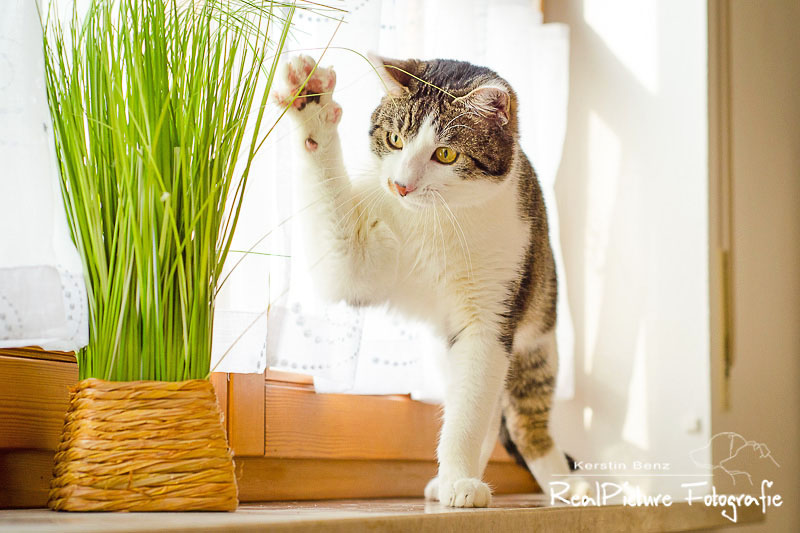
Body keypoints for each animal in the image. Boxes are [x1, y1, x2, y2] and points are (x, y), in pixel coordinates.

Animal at [276, 54, 588, 508]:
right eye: (394, 139)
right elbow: (340, 267)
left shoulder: (491, 311)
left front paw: (459, 480)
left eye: (446, 153)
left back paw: (564, 484)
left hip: (537, 339)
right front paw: (311, 100)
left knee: (520, 419)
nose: (400, 185)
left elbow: (469, 410)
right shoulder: (357, 263)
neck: (435, 220)